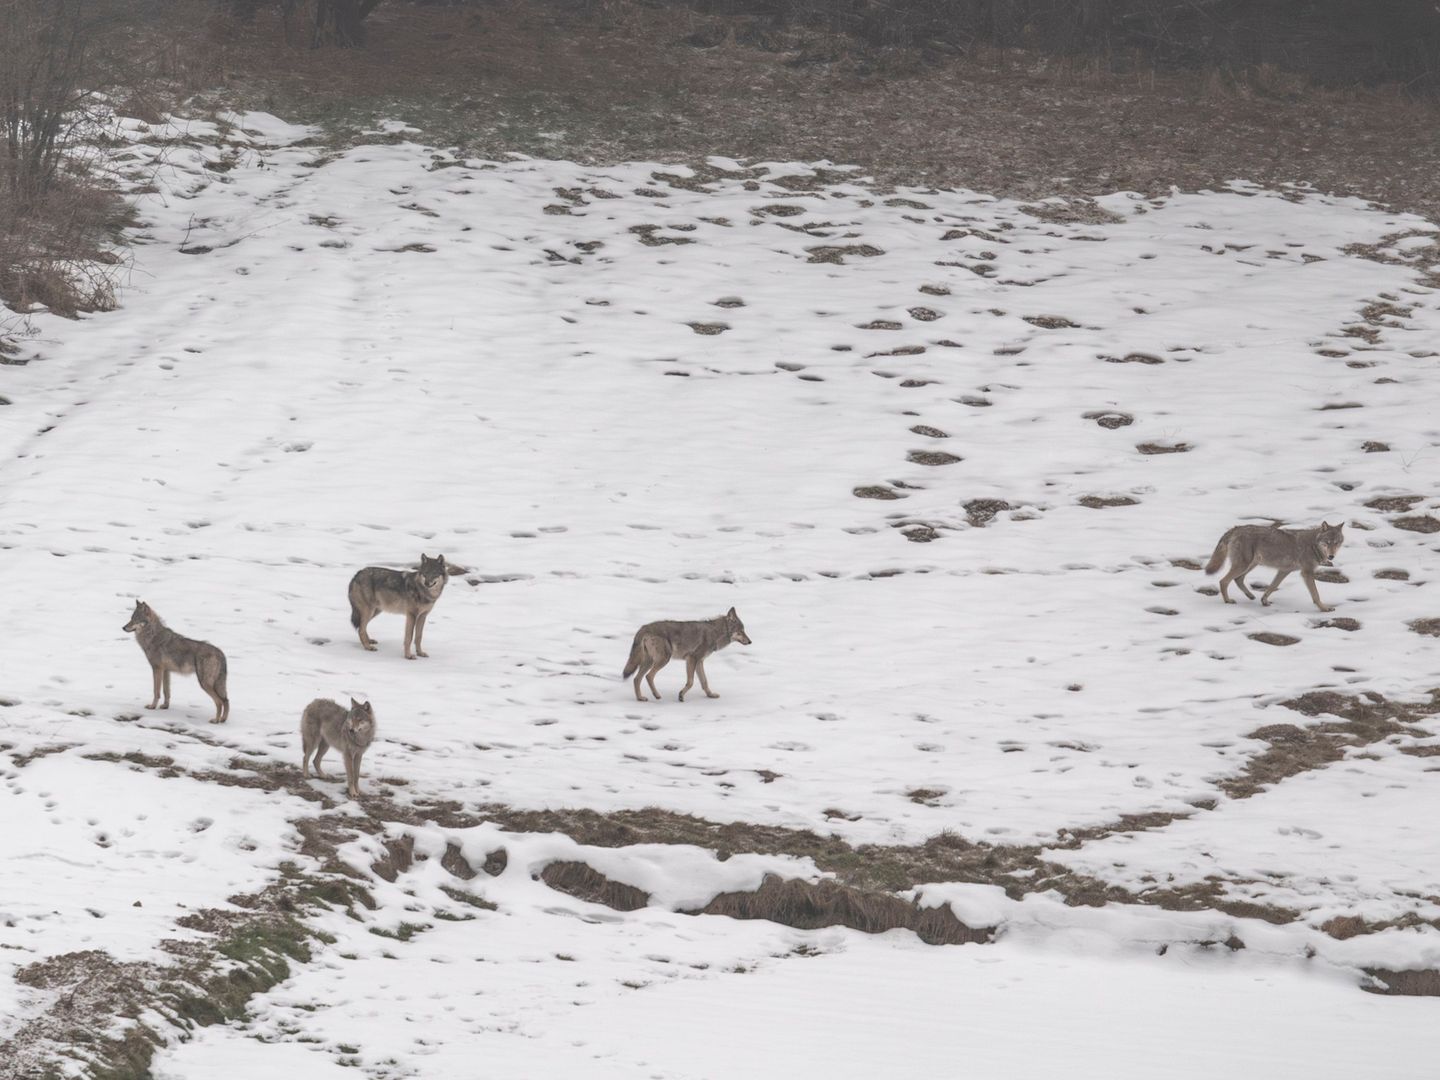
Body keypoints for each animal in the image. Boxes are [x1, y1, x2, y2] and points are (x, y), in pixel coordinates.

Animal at [622, 604, 754, 705]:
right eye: (741, 631)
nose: (750, 641)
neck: (715, 633)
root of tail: (643, 628)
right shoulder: (692, 659)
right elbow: (691, 682)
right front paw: (681, 696)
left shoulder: (699, 662)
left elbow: (704, 682)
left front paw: (710, 695)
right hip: (663, 660)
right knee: (648, 676)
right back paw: (657, 695)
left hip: (649, 662)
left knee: (636, 679)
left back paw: (640, 698)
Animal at [1203, 521, 1347, 613]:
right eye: (1327, 542)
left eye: (1336, 543)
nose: (1331, 556)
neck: (1313, 545)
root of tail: (1237, 527)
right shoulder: (1307, 573)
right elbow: (1316, 595)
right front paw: (1324, 608)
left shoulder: (1284, 571)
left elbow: (1273, 586)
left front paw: (1264, 601)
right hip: (1243, 565)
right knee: (1223, 581)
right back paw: (1228, 601)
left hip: (1251, 565)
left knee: (1238, 579)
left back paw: (1250, 596)